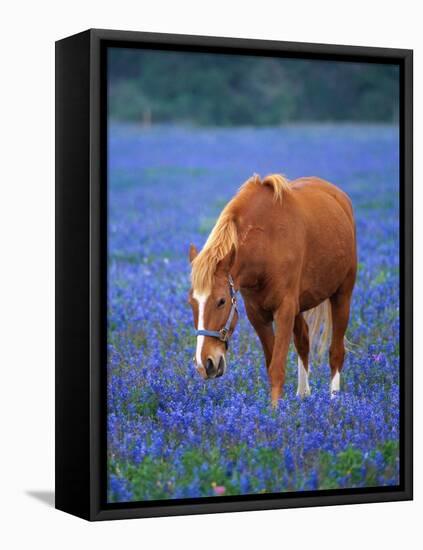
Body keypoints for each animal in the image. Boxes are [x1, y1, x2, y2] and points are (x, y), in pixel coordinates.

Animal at [189, 175, 358, 408]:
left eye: (221, 301)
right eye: (191, 303)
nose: (204, 364)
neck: (266, 244)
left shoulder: (284, 310)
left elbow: (277, 368)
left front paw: (275, 412)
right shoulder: (258, 315)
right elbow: (271, 364)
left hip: (342, 295)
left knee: (336, 352)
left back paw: (334, 402)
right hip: (300, 306)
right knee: (303, 341)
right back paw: (303, 395)